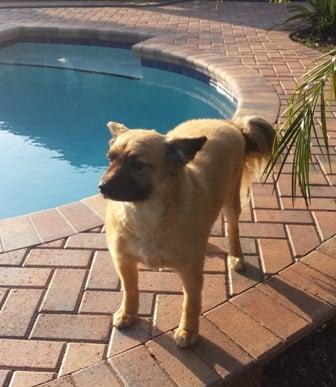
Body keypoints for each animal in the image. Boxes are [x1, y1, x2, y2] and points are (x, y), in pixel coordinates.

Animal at [100, 117, 276, 348]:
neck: (146, 214)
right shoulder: (123, 262)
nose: (102, 187)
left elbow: (190, 304)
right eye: (110, 158)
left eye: (137, 165)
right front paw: (128, 314)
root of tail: (229, 123)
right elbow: (130, 291)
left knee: (233, 228)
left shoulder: (191, 273)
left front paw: (188, 330)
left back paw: (236, 256)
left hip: (231, 201)